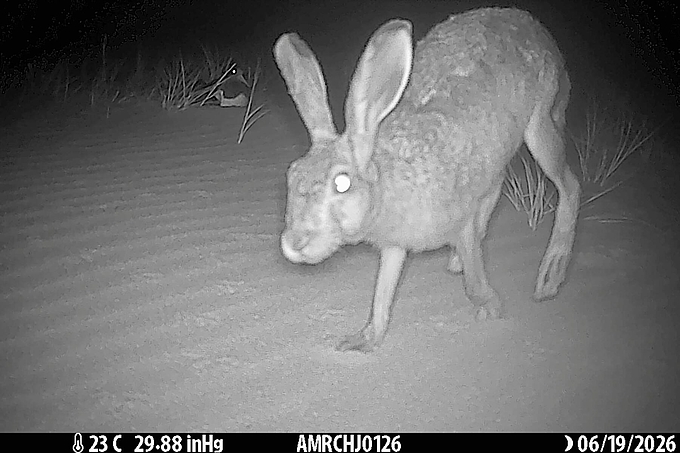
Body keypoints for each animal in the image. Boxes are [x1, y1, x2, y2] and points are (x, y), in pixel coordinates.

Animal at [274, 7, 581, 352]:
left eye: (341, 183)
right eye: (292, 174)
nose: (294, 243)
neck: (386, 181)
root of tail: (535, 28)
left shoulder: (460, 224)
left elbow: (473, 280)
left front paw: (491, 308)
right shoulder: (395, 245)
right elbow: (382, 294)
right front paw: (362, 340)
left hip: (540, 125)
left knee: (570, 186)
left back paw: (549, 278)